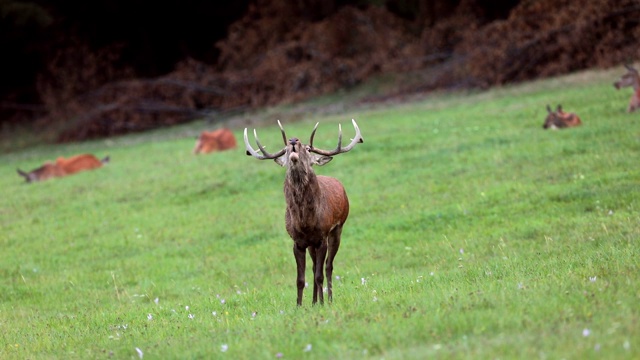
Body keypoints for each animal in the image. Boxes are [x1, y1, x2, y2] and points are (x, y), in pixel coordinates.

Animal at [245, 119, 362, 306]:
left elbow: (320, 275)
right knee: (314, 267)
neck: (305, 221)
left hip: (338, 229)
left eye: (307, 149)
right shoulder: (298, 242)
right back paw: (313, 302)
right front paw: (300, 305)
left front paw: (323, 303)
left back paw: (328, 299)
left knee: (328, 266)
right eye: (285, 149)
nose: (293, 140)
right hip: (312, 244)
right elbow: (300, 279)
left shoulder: (322, 237)